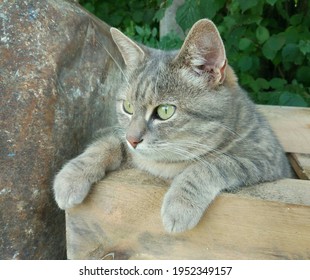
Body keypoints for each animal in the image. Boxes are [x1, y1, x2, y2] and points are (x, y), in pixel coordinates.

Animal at [53, 19, 294, 232]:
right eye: (128, 107)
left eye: (165, 111)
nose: (133, 140)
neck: (164, 165)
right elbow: (106, 143)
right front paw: (71, 176)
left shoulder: (264, 160)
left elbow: (212, 164)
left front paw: (180, 205)